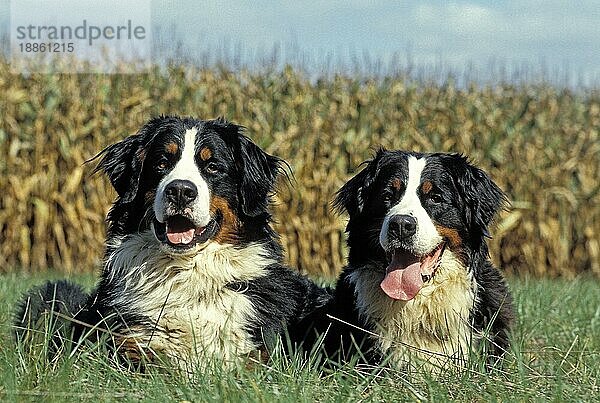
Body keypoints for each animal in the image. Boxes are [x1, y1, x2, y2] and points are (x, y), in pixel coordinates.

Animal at [14, 115, 330, 370]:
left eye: (212, 166)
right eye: (162, 163)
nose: (180, 190)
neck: (186, 275)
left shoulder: (260, 354)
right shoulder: (126, 347)